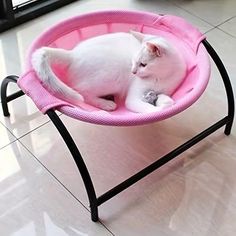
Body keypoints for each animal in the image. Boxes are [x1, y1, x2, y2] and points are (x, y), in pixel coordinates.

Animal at [31, 31, 186, 112]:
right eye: (133, 61)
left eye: (143, 64)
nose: (133, 72)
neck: (161, 76)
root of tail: (72, 55)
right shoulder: (133, 98)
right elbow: (151, 108)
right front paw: (161, 107)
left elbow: (165, 98)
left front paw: (163, 100)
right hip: (110, 75)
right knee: (83, 92)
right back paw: (105, 104)